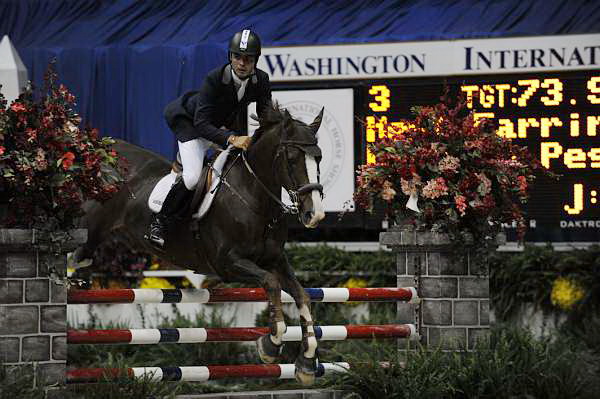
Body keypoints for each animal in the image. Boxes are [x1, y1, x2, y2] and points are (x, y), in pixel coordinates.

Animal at [74, 104, 328, 386]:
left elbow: (301, 295)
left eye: (318, 159)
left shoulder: (275, 260)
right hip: (88, 232)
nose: (314, 215)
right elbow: (271, 284)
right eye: (292, 159)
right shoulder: (228, 262)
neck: (255, 198)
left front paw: (307, 362)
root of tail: (99, 151)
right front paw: (271, 345)